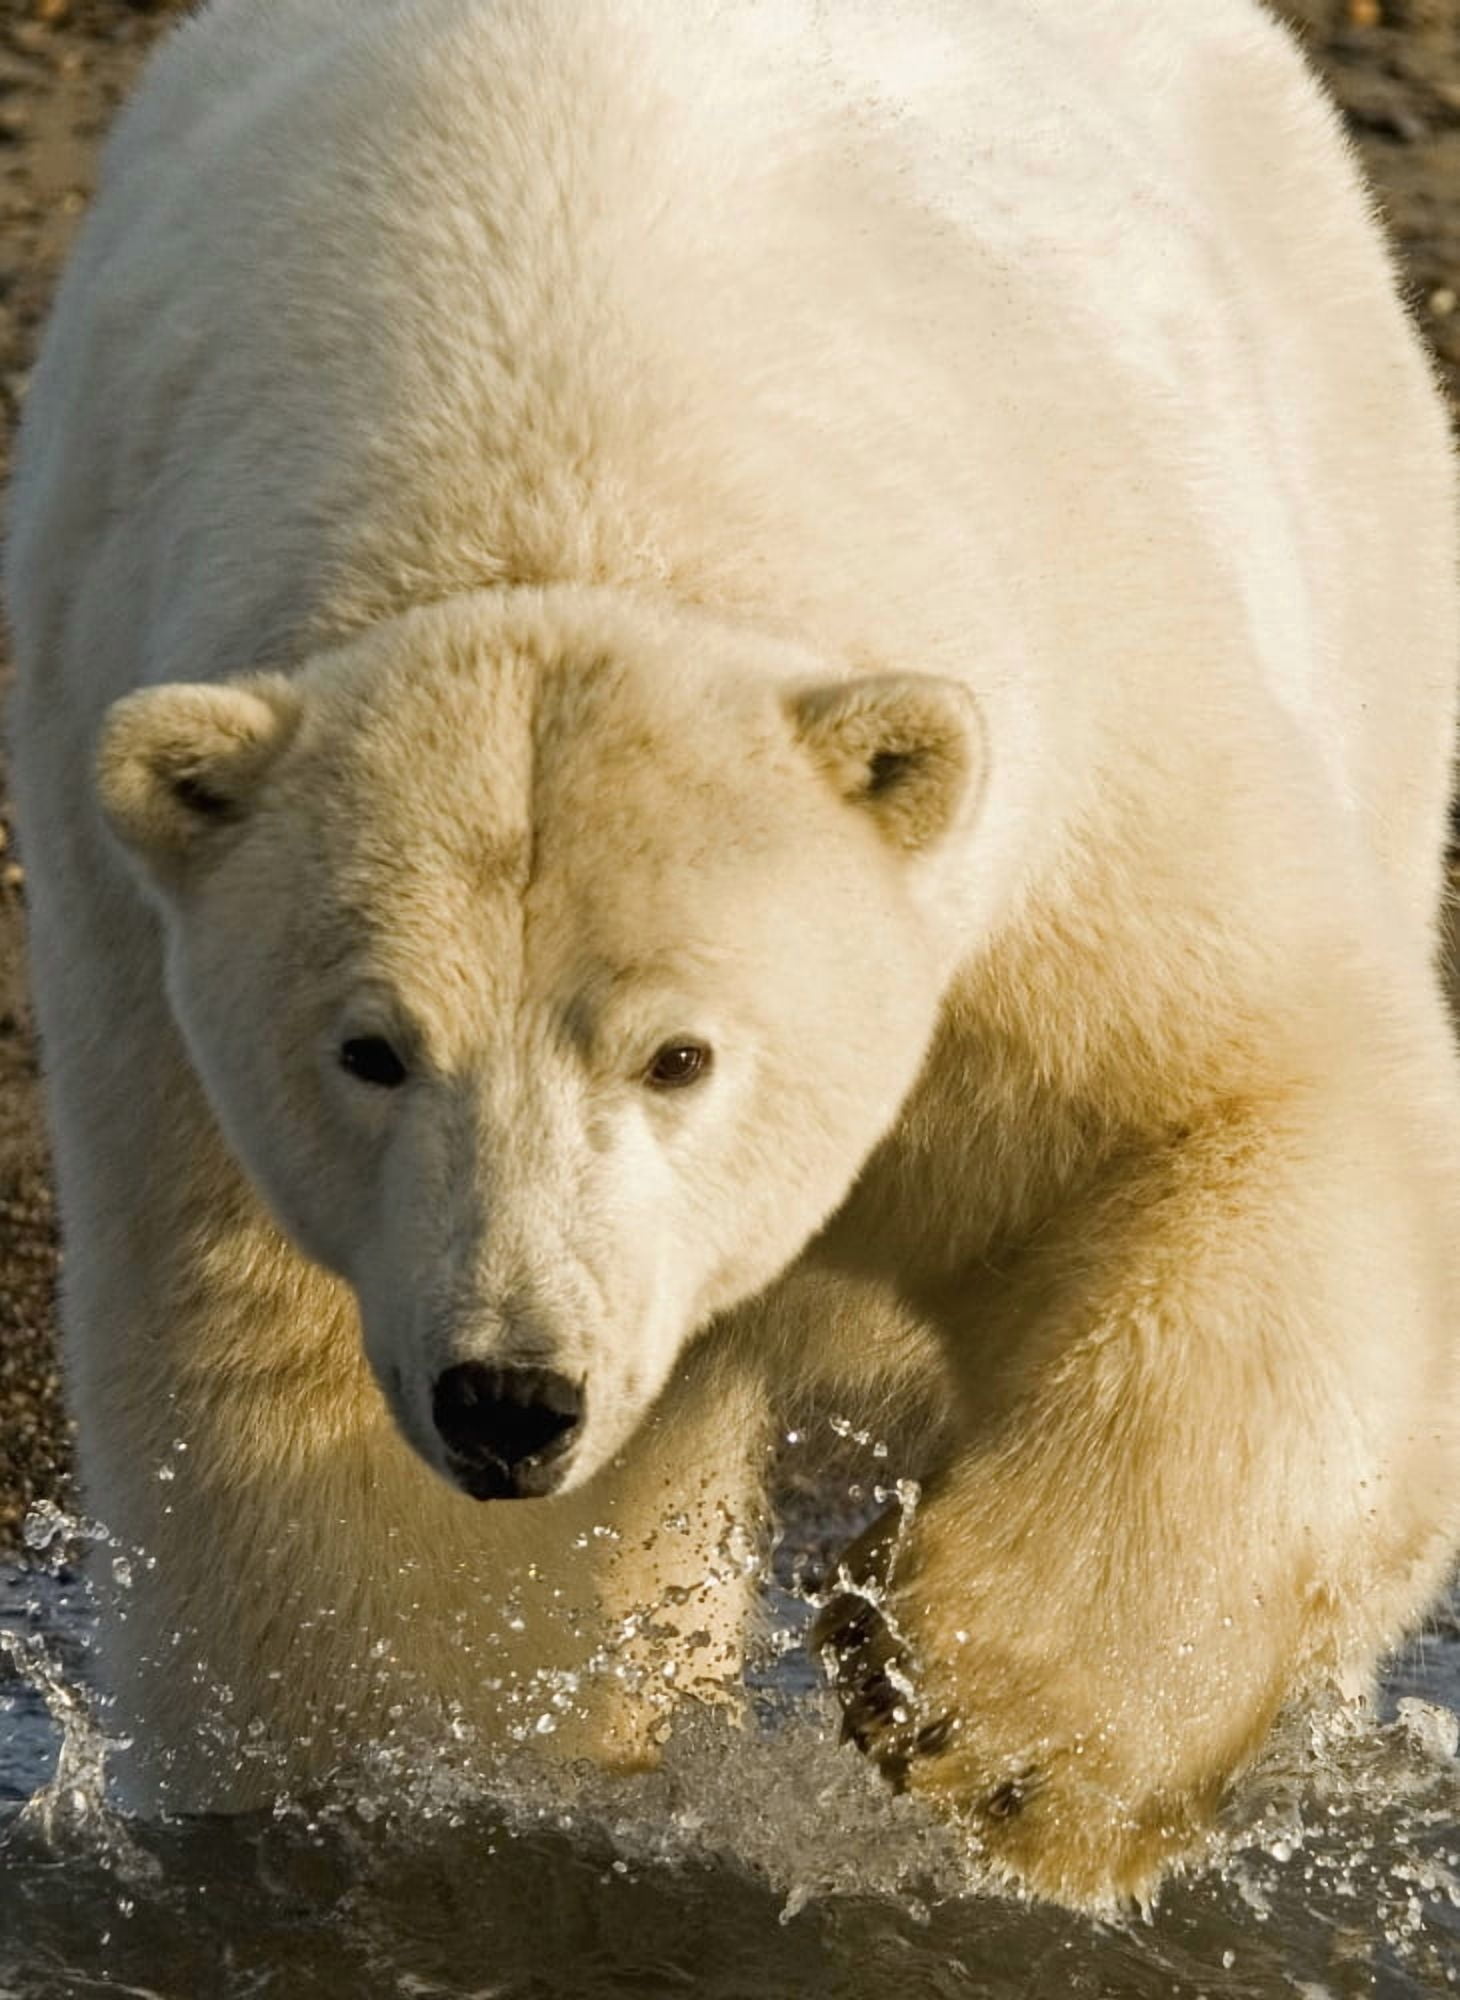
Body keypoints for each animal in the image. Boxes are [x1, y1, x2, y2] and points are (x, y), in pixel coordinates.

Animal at [6, 0, 1460, 1911]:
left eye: (680, 1055)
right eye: (371, 1050)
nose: (511, 1397)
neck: (554, 429)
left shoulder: (1074, 775)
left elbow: (1248, 1104)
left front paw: (996, 1730)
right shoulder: (171, 1021)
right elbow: (305, 1417)